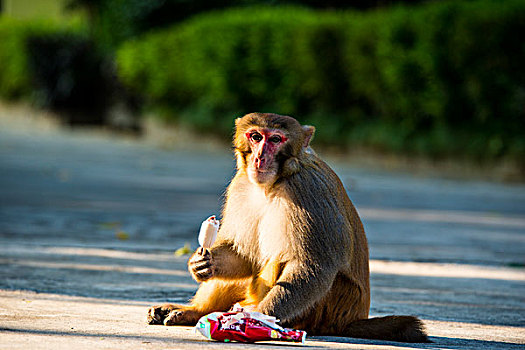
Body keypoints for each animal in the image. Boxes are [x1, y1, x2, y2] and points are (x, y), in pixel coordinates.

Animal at [145, 113, 428, 344]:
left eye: (276, 139)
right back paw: (196, 313)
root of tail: (349, 320)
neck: (275, 182)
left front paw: (259, 318)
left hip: (327, 310)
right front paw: (203, 262)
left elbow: (313, 266)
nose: (260, 157)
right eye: (256, 136)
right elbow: (244, 255)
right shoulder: (240, 185)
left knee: (283, 258)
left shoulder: (307, 190)